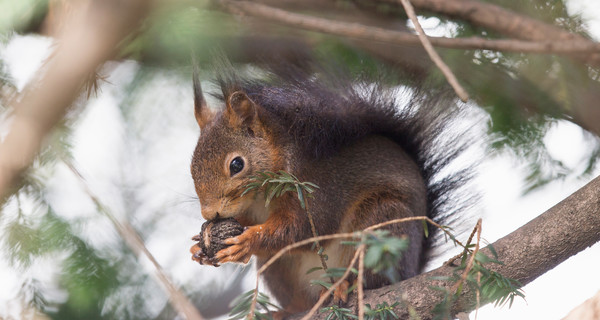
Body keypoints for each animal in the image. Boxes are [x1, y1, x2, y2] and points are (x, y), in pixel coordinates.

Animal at [190, 60, 472, 316]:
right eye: (191, 166)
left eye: (237, 164)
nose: (209, 214)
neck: (260, 197)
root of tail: (411, 270)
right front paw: (199, 247)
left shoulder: (317, 191)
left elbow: (304, 229)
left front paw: (247, 240)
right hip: (278, 268)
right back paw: (286, 310)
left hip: (382, 223)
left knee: (368, 277)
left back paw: (343, 286)